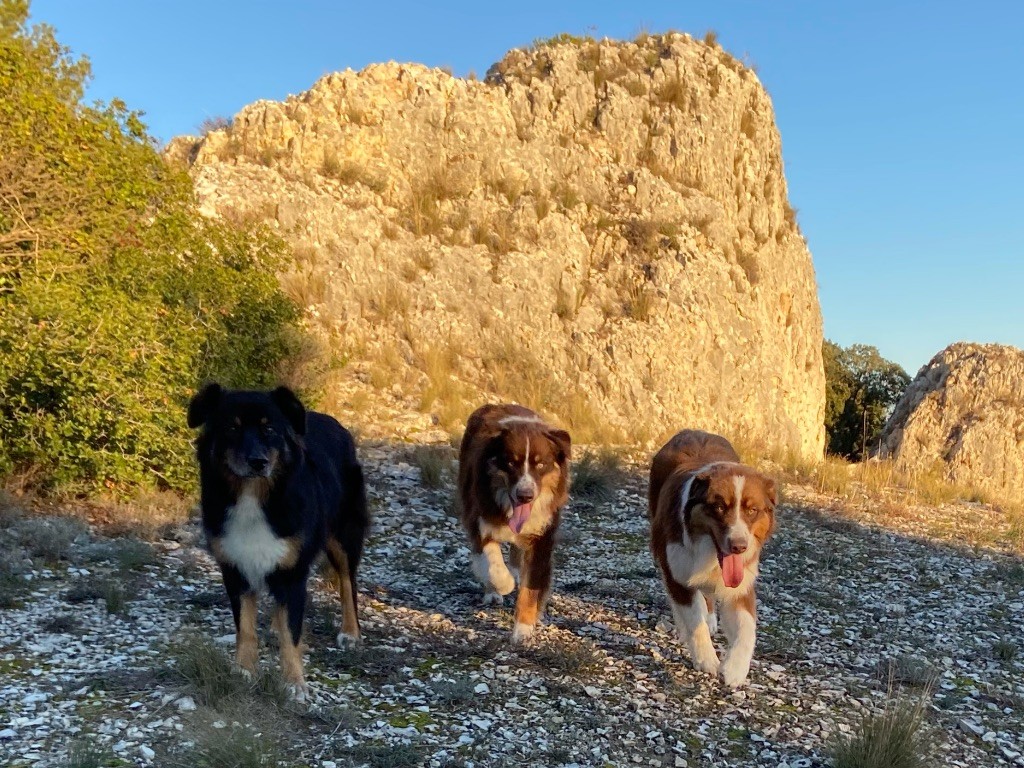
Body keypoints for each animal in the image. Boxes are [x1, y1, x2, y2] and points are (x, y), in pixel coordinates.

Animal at [187, 382, 368, 700]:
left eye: (269, 429)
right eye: (231, 428)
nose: (257, 461)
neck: (253, 495)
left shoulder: (293, 572)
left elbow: (291, 635)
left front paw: (294, 684)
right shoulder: (236, 568)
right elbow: (246, 627)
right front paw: (244, 670)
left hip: (343, 535)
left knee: (348, 581)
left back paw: (350, 632)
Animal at [460, 405, 573, 647]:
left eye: (541, 464)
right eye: (511, 463)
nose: (525, 495)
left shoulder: (542, 535)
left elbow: (530, 589)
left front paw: (523, 630)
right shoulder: (479, 517)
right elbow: (492, 562)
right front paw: (503, 584)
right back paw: (494, 590)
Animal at [647, 430, 774, 688]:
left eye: (752, 510)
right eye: (719, 507)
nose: (739, 547)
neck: (710, 554)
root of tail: (692, 430)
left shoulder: (741, 585)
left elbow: (747, 629)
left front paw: (735, 669)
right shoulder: (678, 573)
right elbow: (695, 622)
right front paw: (707, 660)